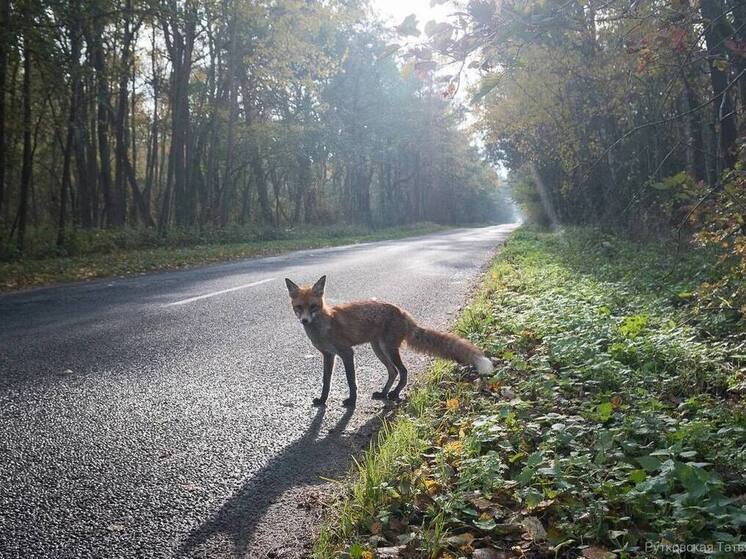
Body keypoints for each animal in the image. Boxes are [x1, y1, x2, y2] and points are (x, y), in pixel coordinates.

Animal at [282, 276, 492, 406]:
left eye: (313, 306)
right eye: (299, 307)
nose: (304, 320)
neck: (324, 325)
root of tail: (403, 312)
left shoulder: (347, 353)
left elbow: (351, 380)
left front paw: (352, 401)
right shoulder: (328, 355)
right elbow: (326, 381)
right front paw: (322, 400)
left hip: (389, 349)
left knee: (403, 371)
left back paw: (395, 394)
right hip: (379, 349)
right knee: (393, 371)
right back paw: (383, 393)